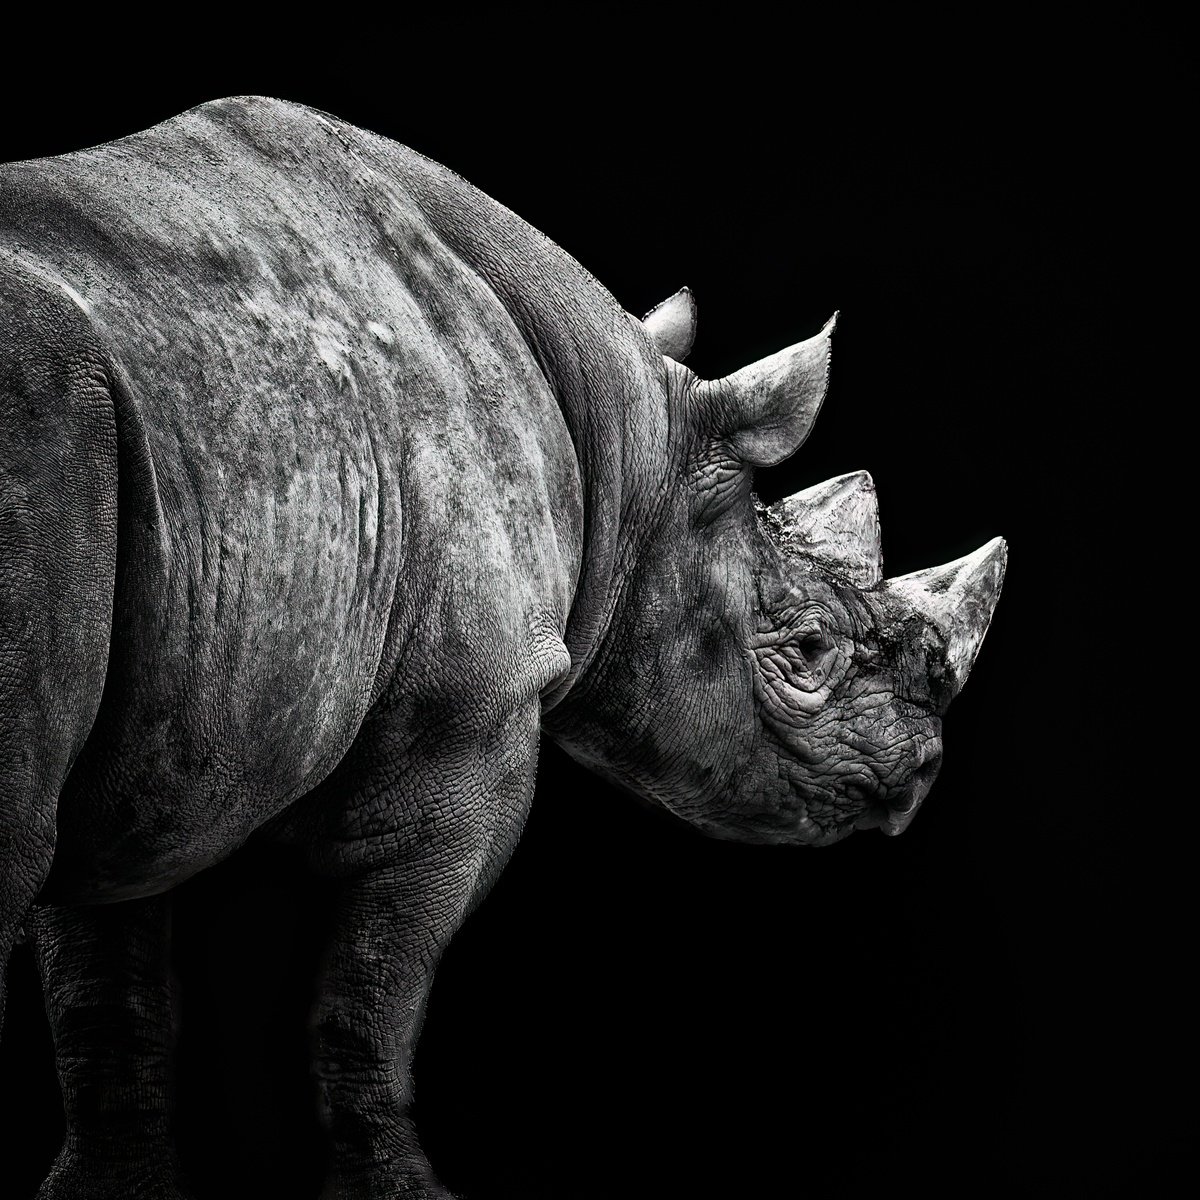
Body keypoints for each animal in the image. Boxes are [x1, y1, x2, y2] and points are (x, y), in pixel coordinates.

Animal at [0, 96, 1005, 1199]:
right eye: (812, 647)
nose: (922, 771)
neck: (630, 445)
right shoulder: (466, 720)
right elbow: (373, 994)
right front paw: (402, 1191)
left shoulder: (160, 713)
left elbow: (102, 984)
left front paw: (107, 1187)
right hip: (41, 423)